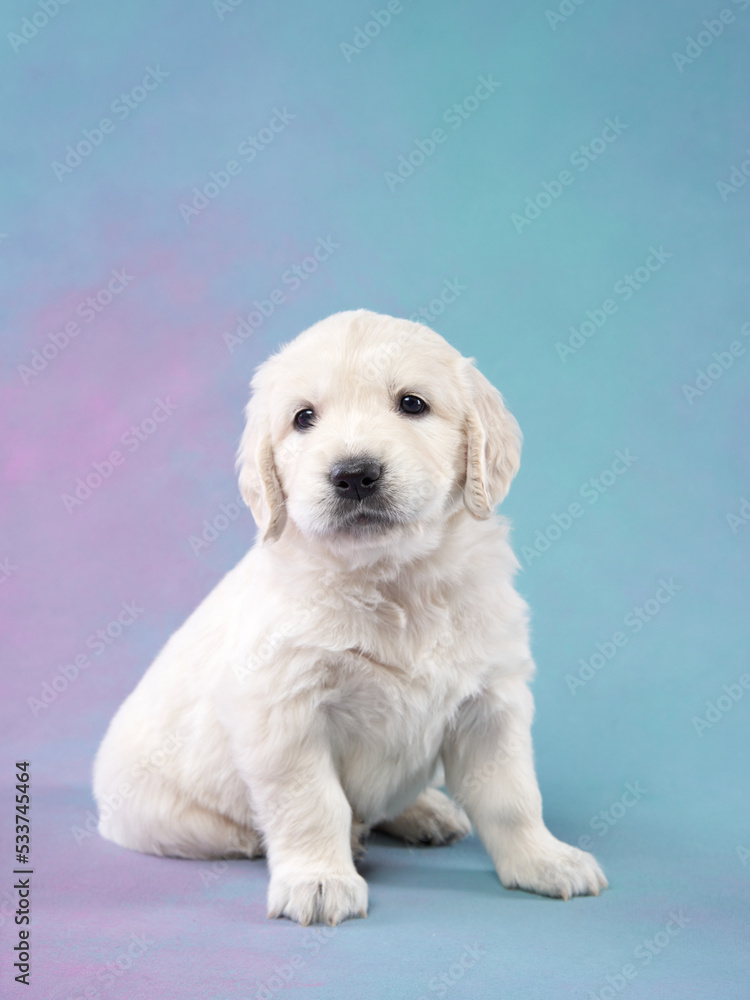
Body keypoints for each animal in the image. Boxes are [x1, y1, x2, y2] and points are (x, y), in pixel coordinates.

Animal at [95, 308, 612, 924]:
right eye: (303, 418)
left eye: (412, 403)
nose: (354, 474)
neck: (392, 580)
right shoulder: (283, 710)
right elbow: (313, 805)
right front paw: (319, 879)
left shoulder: (492, 701)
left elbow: (513, 797)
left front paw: (543, 860)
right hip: (157, 814)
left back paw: (425, 811)